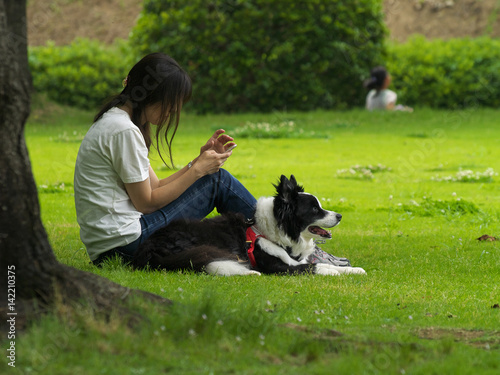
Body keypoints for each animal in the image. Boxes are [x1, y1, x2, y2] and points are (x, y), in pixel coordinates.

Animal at [132, 176, 368, 276]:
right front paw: (337, 272)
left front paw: (354, 270)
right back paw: (250, 273)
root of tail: (148, 248)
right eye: (314, 209)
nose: (339, 216)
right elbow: (316, 267)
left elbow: (323, 264)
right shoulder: (279, 266)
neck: (272, 234)